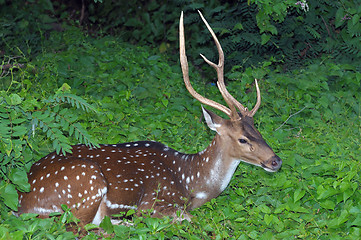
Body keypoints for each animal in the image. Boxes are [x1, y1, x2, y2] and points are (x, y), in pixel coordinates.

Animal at [16, 11, 282, 225]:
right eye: (242, 139)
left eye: (257, 130)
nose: (276, 161)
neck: (191, 184)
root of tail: (20, 200)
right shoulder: (153, 202)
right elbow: (186, 217)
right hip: (86, 183)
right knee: (77, 226)